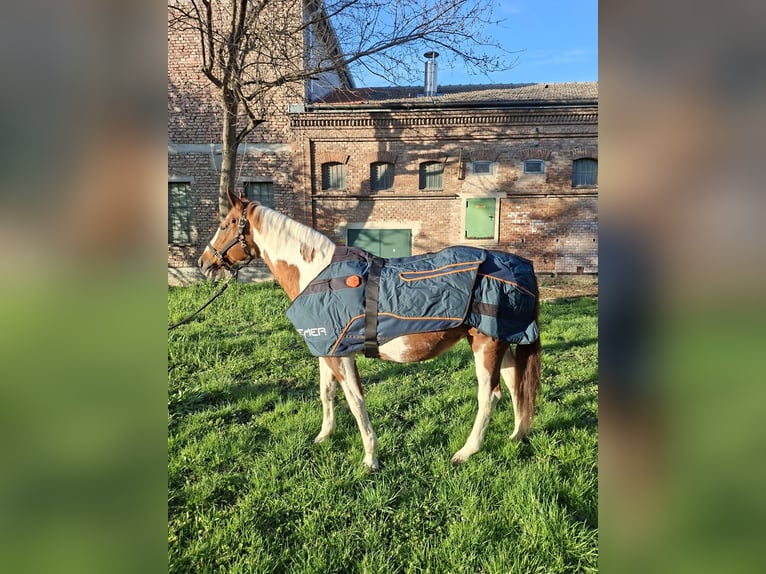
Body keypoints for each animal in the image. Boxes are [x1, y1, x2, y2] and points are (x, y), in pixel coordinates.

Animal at [198, 189, 541, 471]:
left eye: (226, 224)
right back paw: (516, 435)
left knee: (489, 395)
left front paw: (370, 458)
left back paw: (466, 452)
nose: (203, 263)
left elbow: (355, 400)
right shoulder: (326, 350)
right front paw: (323, 436)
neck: (317, 274)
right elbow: (326, 393)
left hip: (486, 345)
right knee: (515, 384)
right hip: (502, 342)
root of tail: (521, 264)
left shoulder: (341, 355)